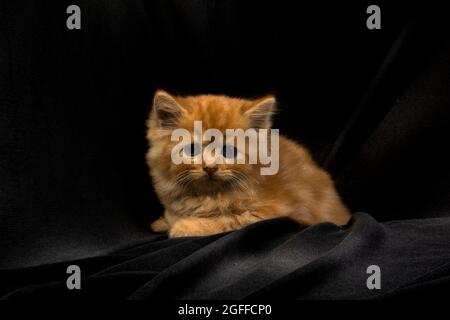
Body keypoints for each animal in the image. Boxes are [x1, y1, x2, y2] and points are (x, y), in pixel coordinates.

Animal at [146, 90, 350, 238]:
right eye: (192, 150)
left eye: (229, 152)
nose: (210, 168)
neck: (207, 195)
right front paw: (164, 221)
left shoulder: (269, 213)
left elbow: (226, 220)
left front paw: (182, 227)